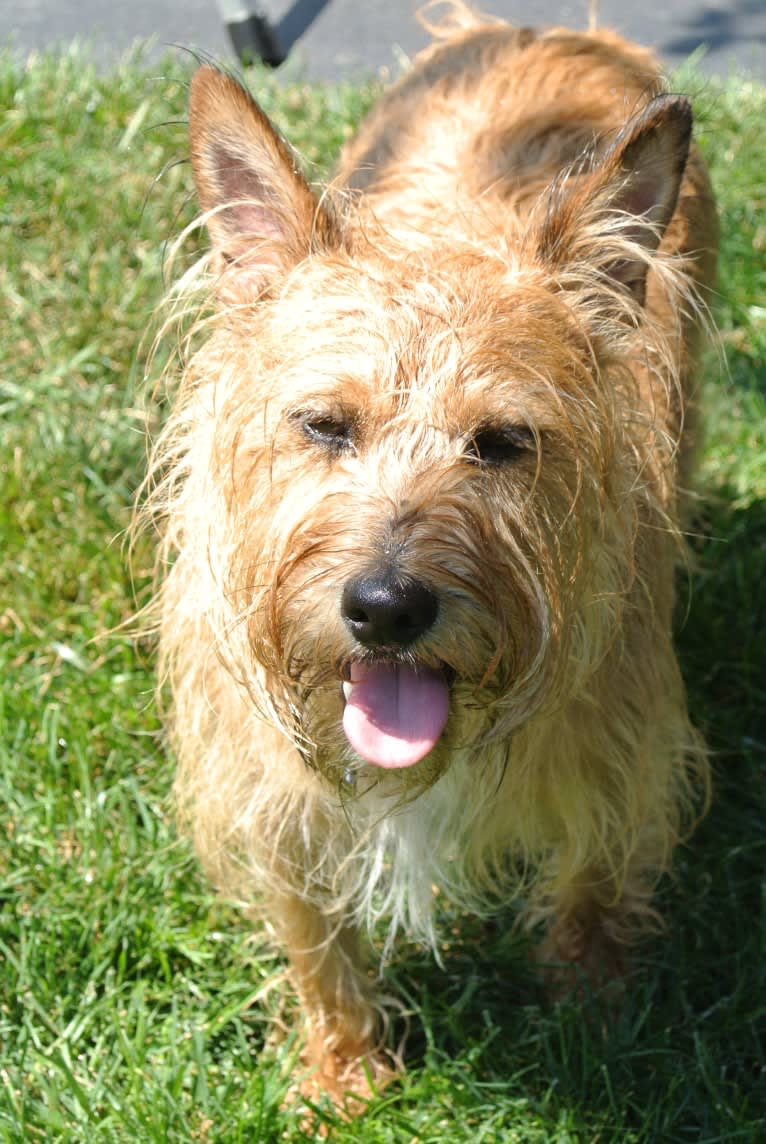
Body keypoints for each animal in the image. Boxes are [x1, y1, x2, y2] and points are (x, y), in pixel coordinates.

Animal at [145, 0, 722, 1107]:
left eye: (501, 442)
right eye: (324, 425)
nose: (386, 606)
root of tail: (536, 28)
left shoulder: (622, 744)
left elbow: (592, 879)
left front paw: (591, 1016)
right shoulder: (266, 784)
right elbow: (312, 930)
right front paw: (343, 1071)